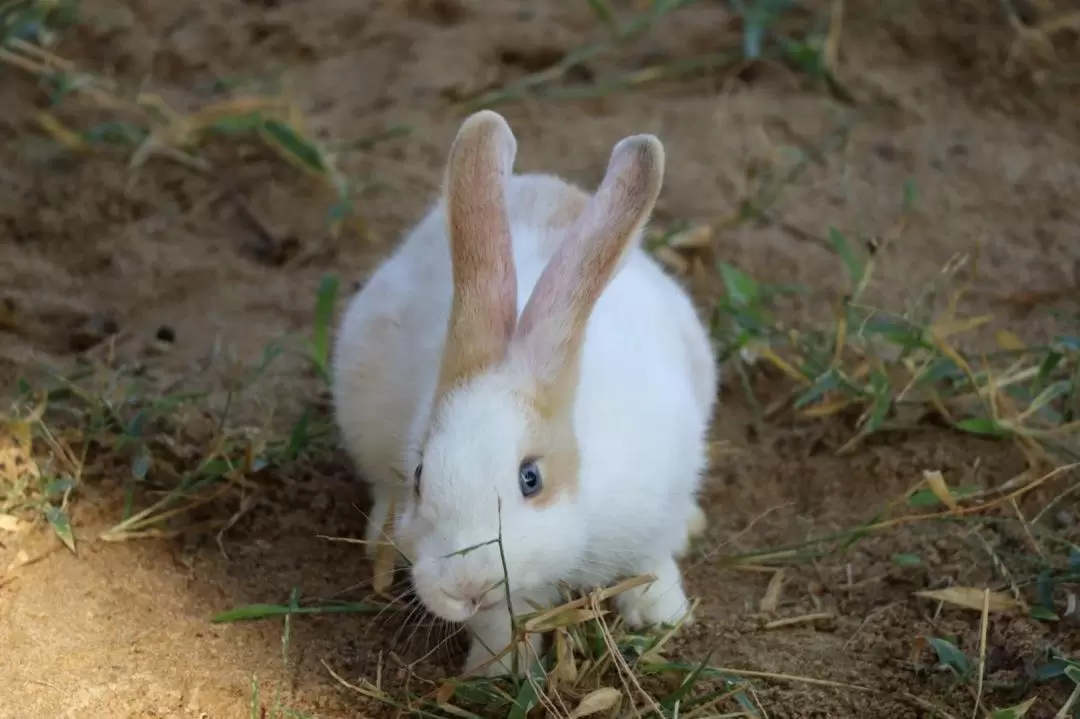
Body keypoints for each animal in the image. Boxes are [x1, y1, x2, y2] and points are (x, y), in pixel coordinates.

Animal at [328, 110, 717, 673]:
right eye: (420, 477)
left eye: (530, 479)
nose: (466, 586)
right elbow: (501, 625)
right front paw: (495, 671)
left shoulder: (659, 494)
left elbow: (651, 558)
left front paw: (661, 614)